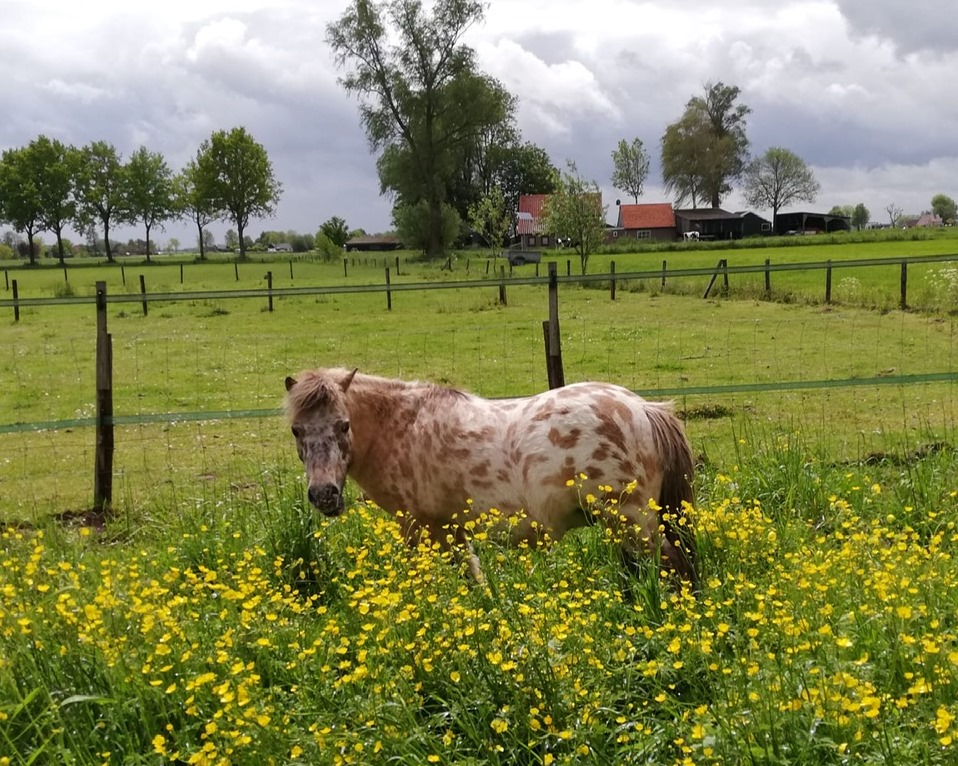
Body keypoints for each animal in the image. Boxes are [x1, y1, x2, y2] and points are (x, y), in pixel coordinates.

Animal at [284, 368, 696, 584]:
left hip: (634, 522)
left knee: (674, 567)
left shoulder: (422, 528)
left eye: (344, 425)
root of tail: (643, 408)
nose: (324, 494)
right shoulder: (450, 530)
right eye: (296, 431)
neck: (404, 426)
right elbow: (473, 580)